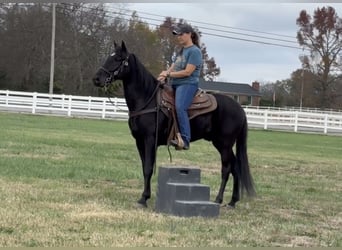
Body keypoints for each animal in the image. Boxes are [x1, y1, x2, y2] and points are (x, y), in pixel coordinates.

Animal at [92, 41, 255, 208]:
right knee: (236, 168)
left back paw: (218, 199)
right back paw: (232, 201)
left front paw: (143, 198)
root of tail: (240, 109)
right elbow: (144, 167)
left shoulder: (150, 140)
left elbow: (148, 168)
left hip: (225, 144)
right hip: (221, 143)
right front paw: (145, 196)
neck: (147, 99)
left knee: (226, 169)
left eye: (118, 58)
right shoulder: (139, 141)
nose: (97, 79)